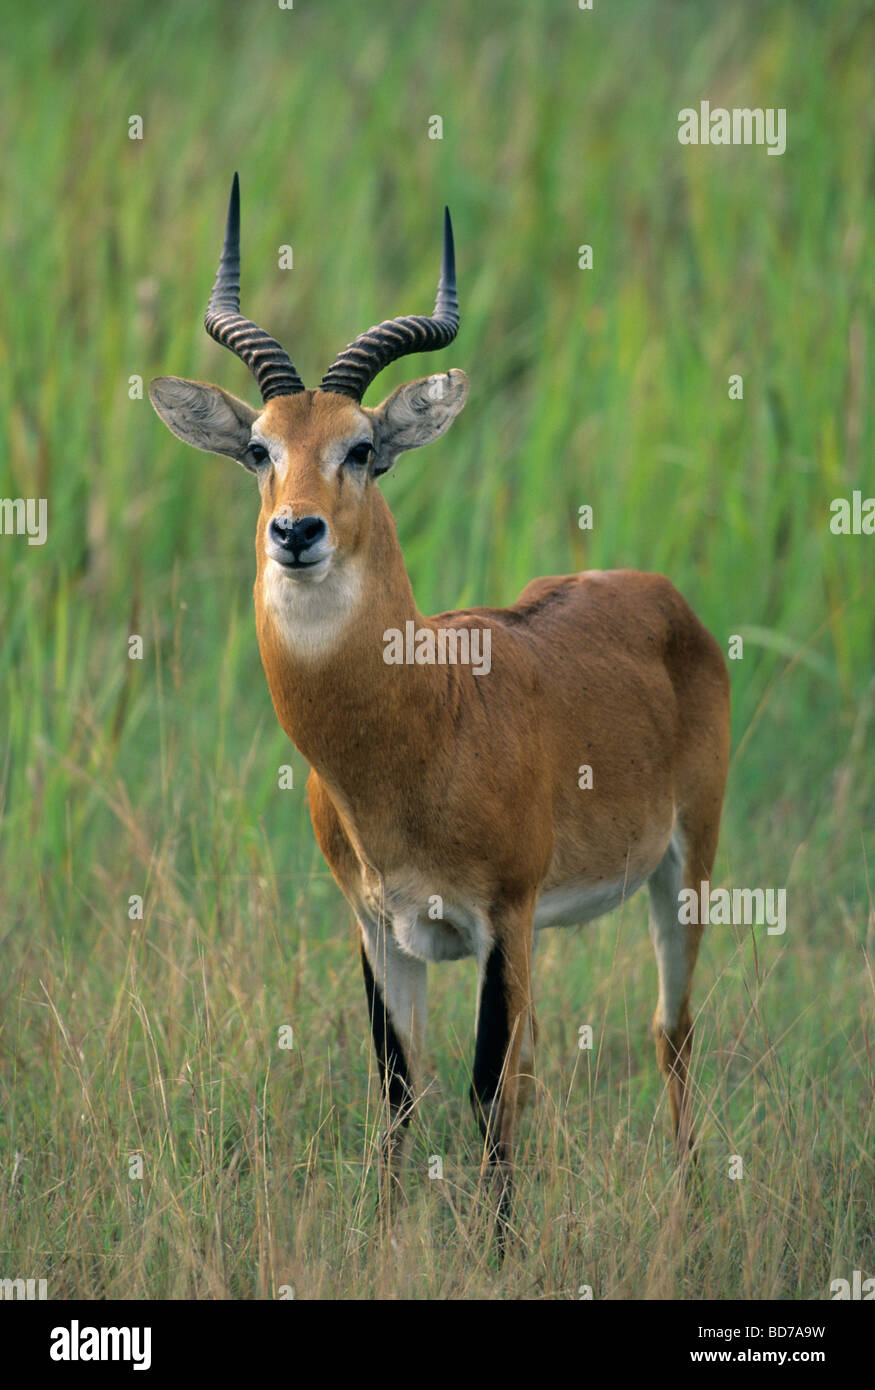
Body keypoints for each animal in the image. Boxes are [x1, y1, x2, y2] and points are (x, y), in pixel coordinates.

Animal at [150, 173, 728, 1251]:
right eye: (257, 447)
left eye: (363, 447)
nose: (296, 531)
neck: (422, 724)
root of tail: (657, 593)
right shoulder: (377, 924)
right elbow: (399, 1091)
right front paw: (383, 1243)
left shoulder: (501, 916)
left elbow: (480, 1094)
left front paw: (497, 1256)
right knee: (543, 1061)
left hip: (683, 868)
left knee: (667, 1032)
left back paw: (688, 1210)